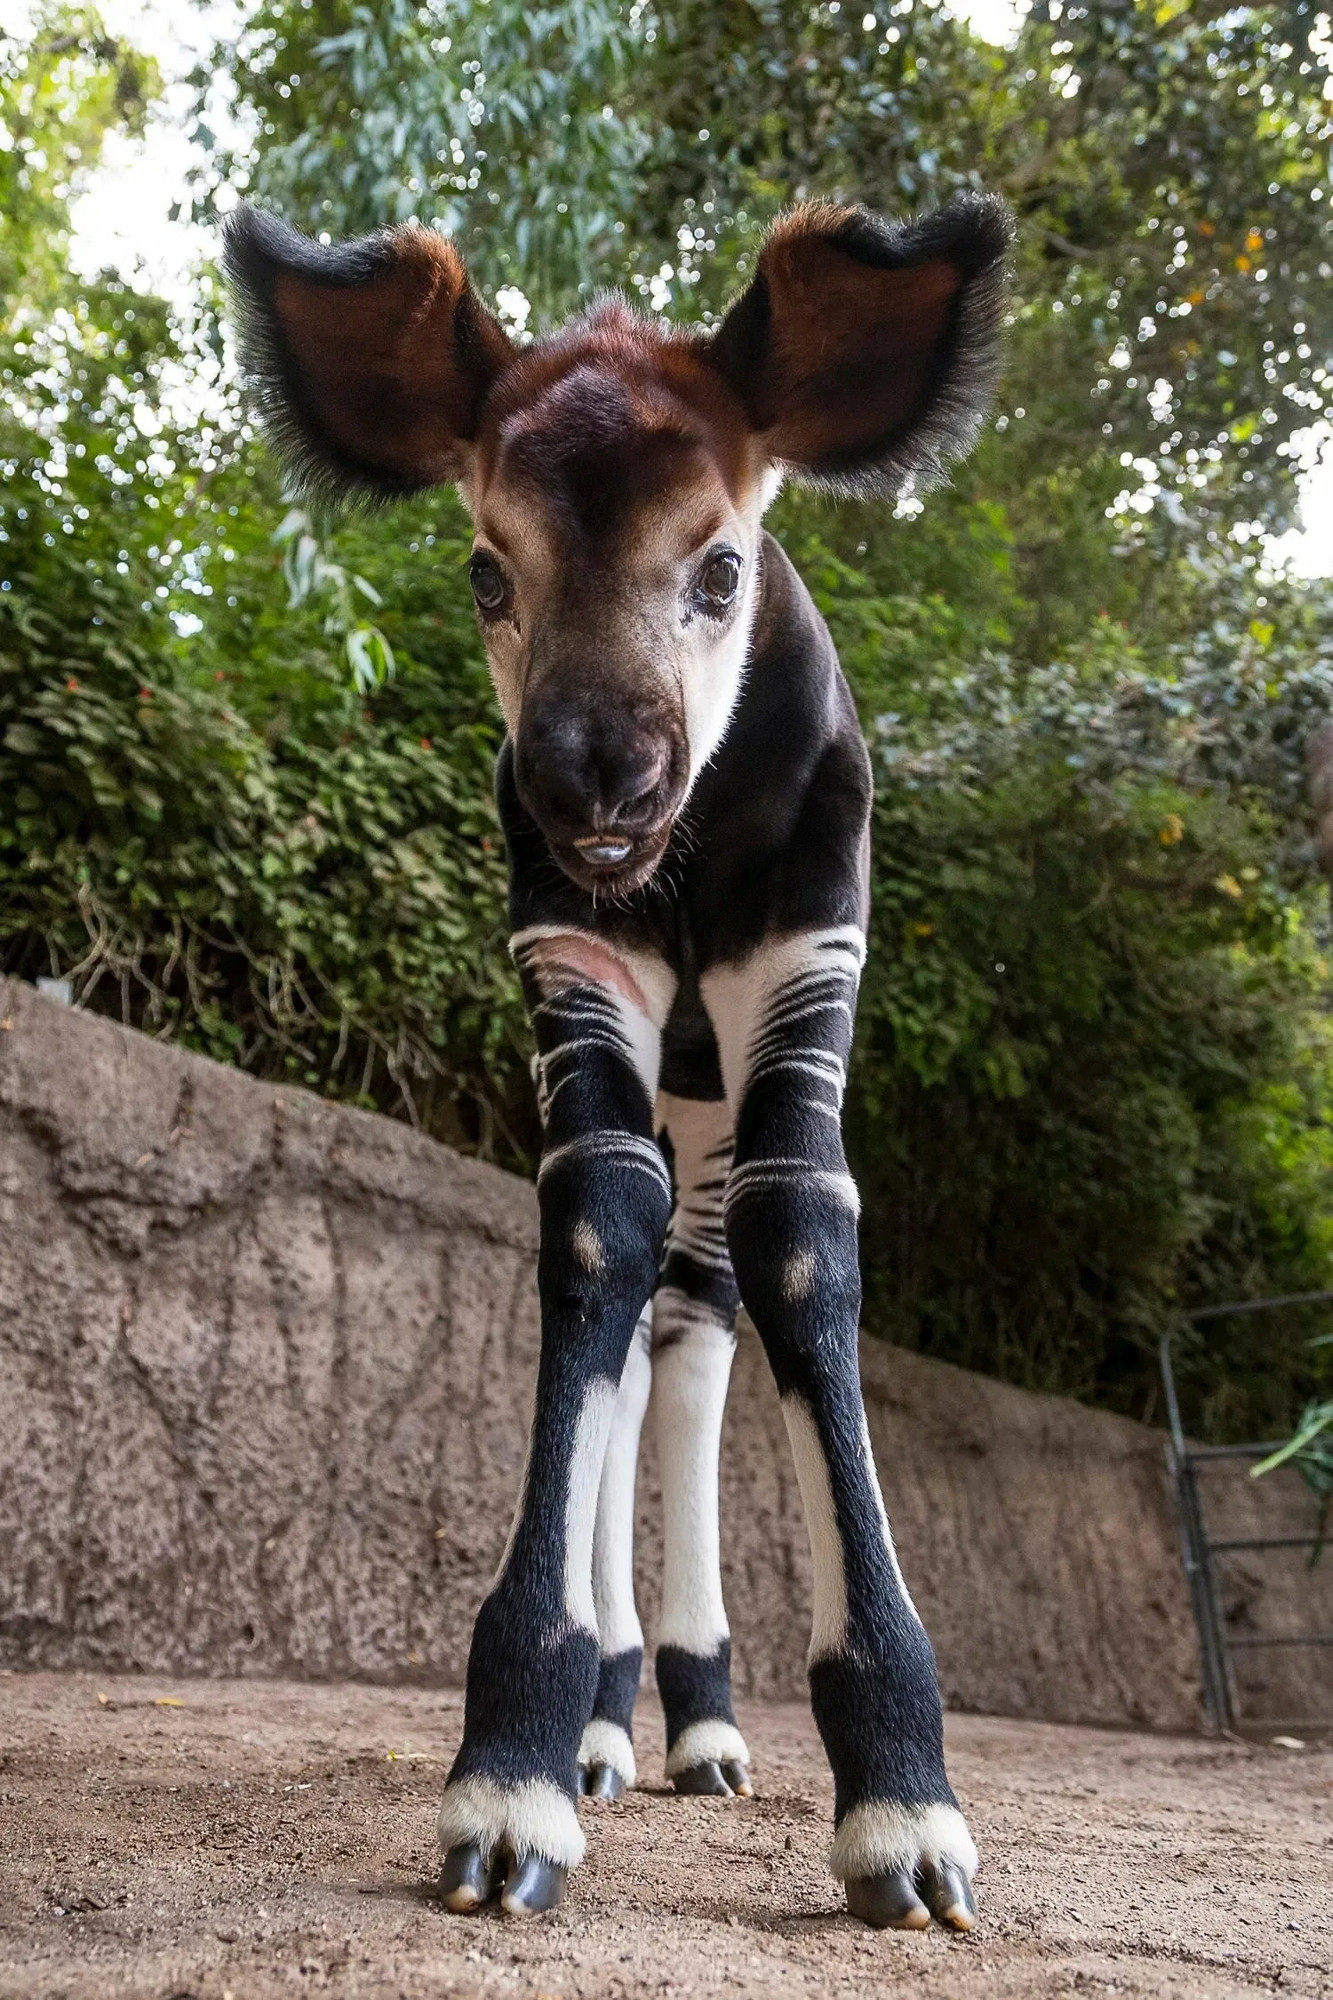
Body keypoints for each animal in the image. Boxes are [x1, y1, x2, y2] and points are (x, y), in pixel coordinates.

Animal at [223, 195, 1008, 1928]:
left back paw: (705, 1729)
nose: (593, 786)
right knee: (648, 1297)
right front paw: (513, 1768)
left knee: (702, 1319)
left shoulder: (811, 964)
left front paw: (904, 1809)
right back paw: (603, 1721)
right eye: (483, 571)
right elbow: (592, 1223)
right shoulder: (571, 968)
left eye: (718, 565)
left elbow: (806, 1238)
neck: (692, 859)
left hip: (715, 1096)